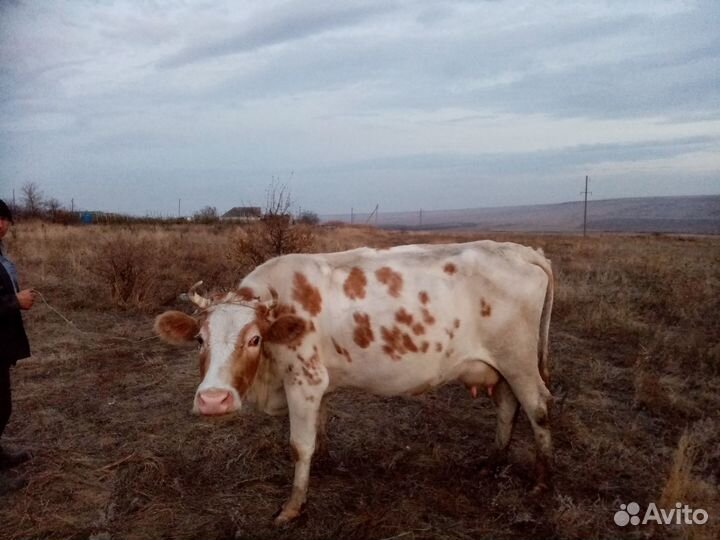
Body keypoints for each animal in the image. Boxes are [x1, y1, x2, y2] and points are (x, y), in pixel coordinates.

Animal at [154, 240, 554, 525]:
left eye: (254, 339)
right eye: (199, 339)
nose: (213, 400)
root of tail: (520, 250)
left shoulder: (304, 380)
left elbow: (299, 445)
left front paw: (293, 506)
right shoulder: (320, 384)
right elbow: (321, 427)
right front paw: (324, 462)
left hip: (519, 360)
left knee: (538, 408)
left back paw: (541, 482)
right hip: (501, 367)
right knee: (507, 407)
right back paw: (492, 462)